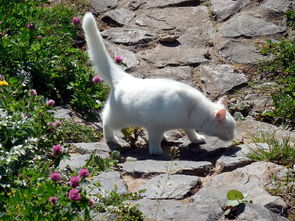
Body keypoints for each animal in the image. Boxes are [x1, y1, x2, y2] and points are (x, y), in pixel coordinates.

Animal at [82, 12, 237, 155]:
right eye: (229, 130)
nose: (233, 137)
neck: (195, 111)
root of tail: (125, 78)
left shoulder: (185, 124)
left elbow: (190, 131)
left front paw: (196, 138)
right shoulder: (154, 125)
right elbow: (154, 138)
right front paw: (156, 150)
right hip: (118, 118)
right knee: (105, 121)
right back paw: (111, 138)